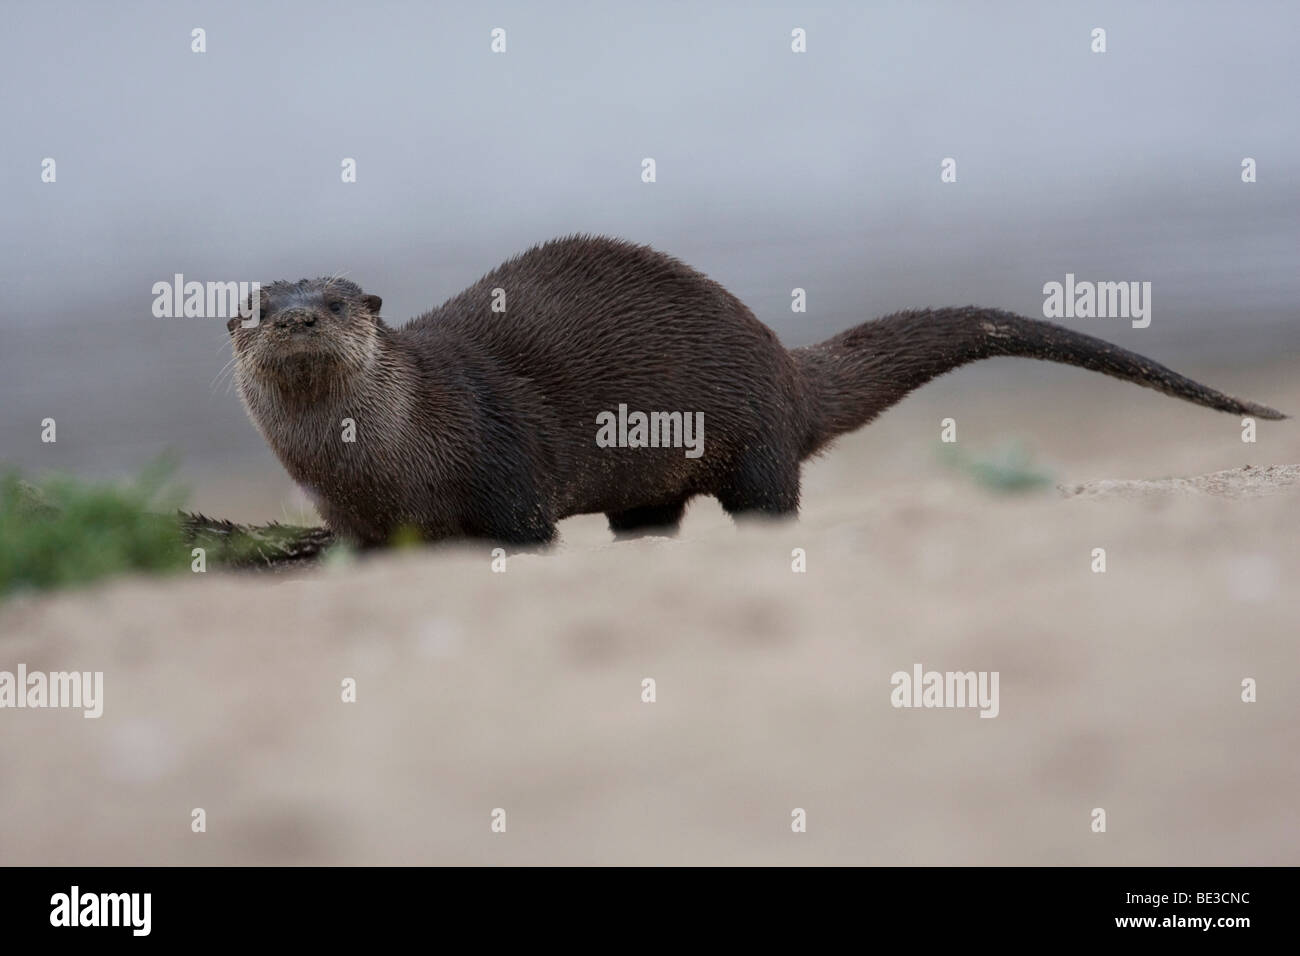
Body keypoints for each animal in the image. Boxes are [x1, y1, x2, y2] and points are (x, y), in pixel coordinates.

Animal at [226, 234, 1279, 548]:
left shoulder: (503, 462)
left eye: (335, 299)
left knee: (771, 501)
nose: (298, 318)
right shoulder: (356, 520)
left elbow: (524, 532)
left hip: (760, 443)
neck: (389, 462)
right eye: (254, 304)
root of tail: (780, 358)